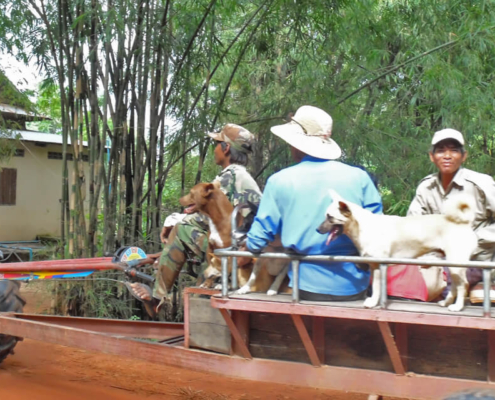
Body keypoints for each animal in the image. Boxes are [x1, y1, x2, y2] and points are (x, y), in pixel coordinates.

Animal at [320, 191, 478, 312]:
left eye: (330, 217)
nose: (317, 229)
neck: (362, 227)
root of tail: (465, 222)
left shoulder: (378, 267)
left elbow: (376, 287)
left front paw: (372, 303)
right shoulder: (375, 267)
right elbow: (378, 287)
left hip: (456, 264)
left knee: (463, 285)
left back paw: (457, 307)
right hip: (453, 265)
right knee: (456, 285)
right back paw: (446, 303)